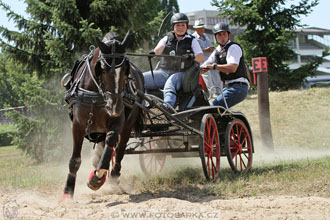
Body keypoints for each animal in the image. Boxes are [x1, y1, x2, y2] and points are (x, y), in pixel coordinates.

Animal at [62, 30, 144, 199]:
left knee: (119, 151)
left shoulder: (118, 122)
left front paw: (97, 178)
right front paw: (67, 192)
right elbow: (75, 159)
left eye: (126, 69)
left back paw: (113, 177)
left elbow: (111, 145)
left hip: (128, 125)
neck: (96, 94)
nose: (115, 107)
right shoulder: (78, 125)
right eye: (103, 68)